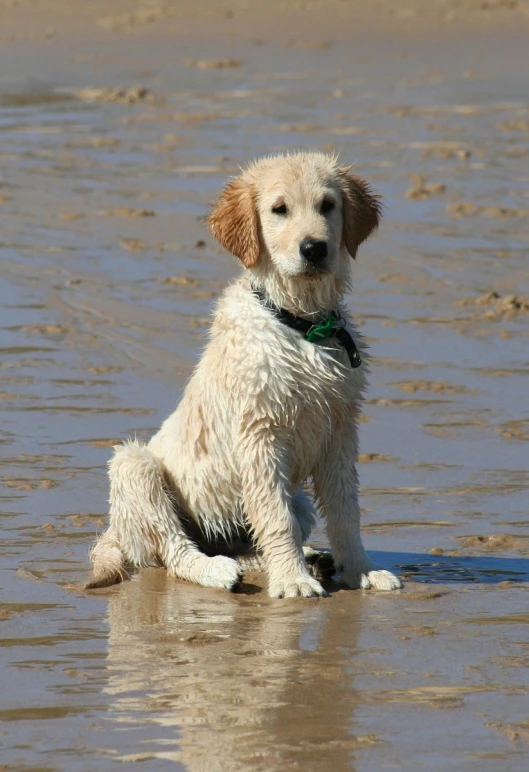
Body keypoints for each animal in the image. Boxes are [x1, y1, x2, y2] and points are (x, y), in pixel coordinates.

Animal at [86, 151, 400, 596]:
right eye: (279, 209)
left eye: (328, 205)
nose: (314, 248)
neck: (299, 323)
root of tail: (114, 531)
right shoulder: (261, 434)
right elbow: (276, 517)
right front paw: (293, 582)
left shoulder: (339, 430)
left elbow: (345, 512)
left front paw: (361, 570)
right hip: (135, 467)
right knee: (173, 551)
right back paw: (216, 570)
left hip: (297, 499)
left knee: (253, 540)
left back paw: (307, 559)